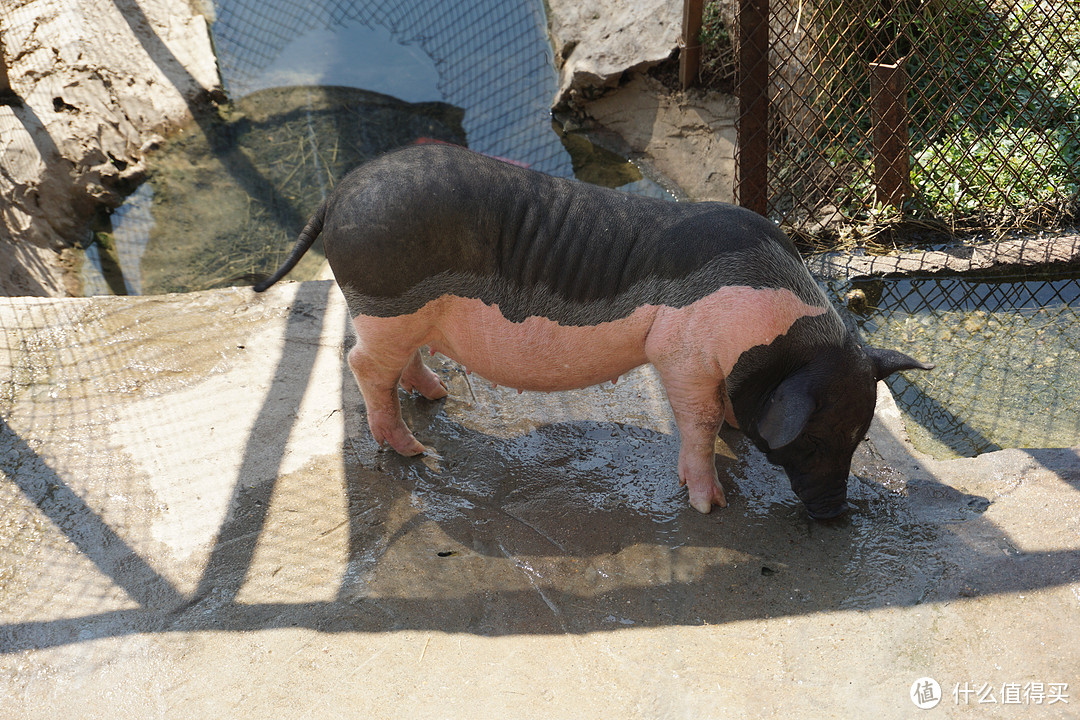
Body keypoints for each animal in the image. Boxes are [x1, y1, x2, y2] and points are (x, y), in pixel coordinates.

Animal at [252, 143, 928, 520]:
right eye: (814, 440)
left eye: (859, 437)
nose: (836, 515)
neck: (773, 340)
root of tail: (339, 191)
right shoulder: (679, 353)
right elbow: (699, 418)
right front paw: (710, 505)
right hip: (385, 308)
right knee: (362, 363)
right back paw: (416, 452)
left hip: (407, 315)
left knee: (397, 363)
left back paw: (436, 396)